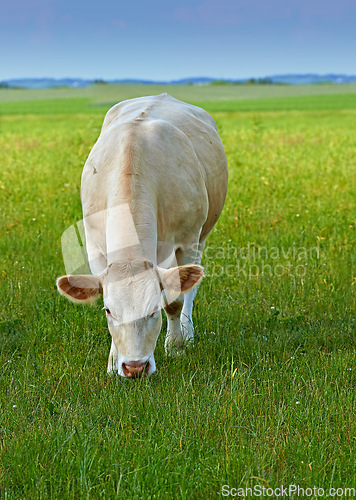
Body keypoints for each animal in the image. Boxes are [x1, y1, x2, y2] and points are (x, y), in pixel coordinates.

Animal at [55, 94, 228, 376]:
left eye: (153, 310)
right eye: (108, 310)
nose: (135, 367)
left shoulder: (186, 241)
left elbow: (176, 300)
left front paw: (175, 346)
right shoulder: (95, 248)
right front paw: (113, 361)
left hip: (201, 237)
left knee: (191, 290)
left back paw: (188, 333)